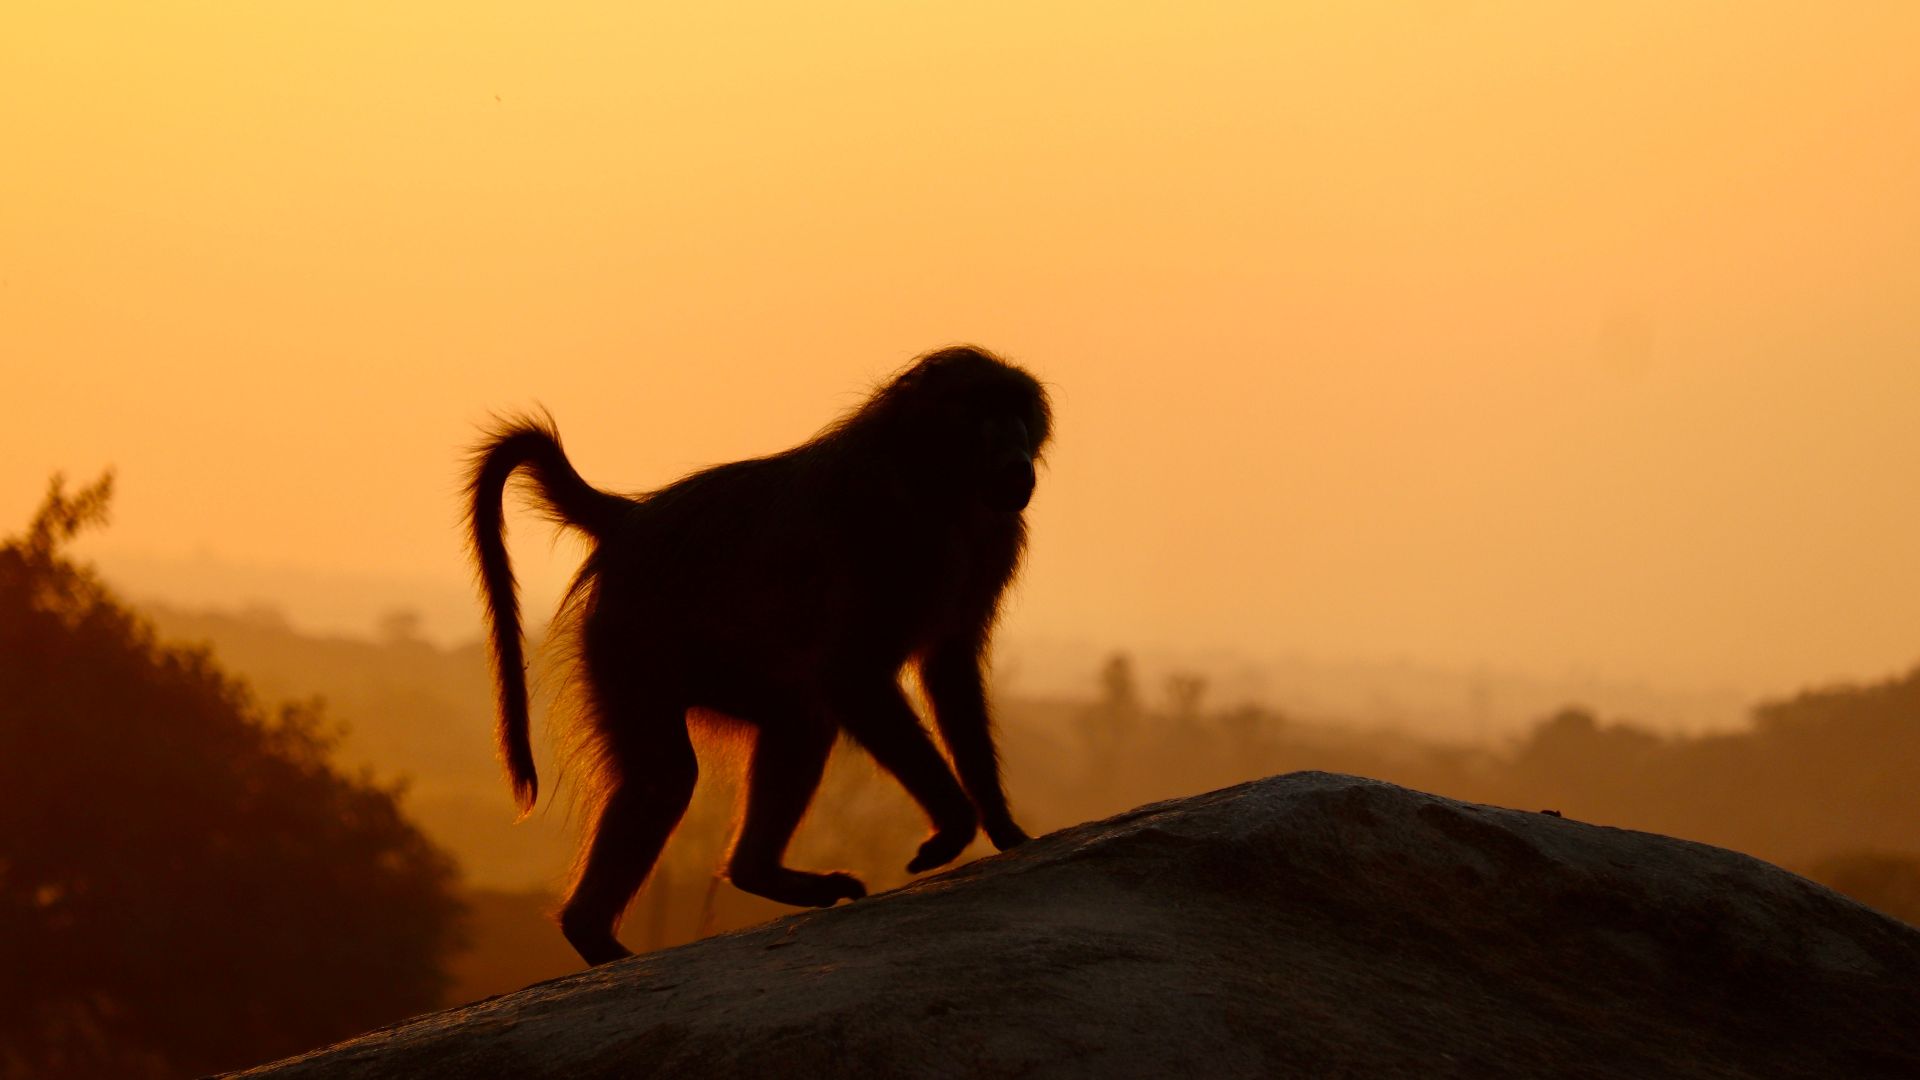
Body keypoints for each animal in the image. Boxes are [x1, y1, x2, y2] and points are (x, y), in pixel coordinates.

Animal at [467, 345, 1051, 966]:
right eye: (984, 408)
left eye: (1018, 408)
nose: (1018, 455)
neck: (934, 481)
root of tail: (633, 515)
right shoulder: (879, 520)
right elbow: (851, 675)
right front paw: (954, 825)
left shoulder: (991, 540)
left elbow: (948, 670)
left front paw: (1004, 828)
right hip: (632, 637)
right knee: (673, 774)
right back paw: (595, 936)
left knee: (796, 720)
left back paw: (752, 875)